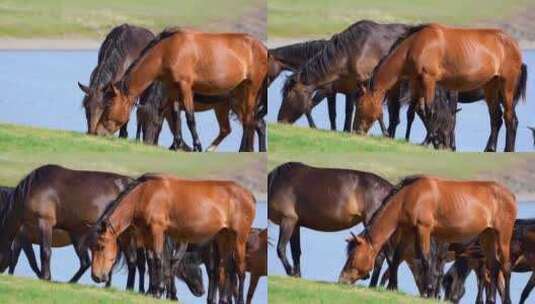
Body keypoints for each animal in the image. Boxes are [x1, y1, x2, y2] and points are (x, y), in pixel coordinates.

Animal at [89, 173, 256, 304]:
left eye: (101, 246)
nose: (96, 277)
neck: (145, 194)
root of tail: (249, 195)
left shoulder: (157, 230)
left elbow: (158, 259)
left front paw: (158, 291)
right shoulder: (147, 234)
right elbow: (152, 260)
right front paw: (153, 291)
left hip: (239, 237)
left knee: (240, 270)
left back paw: (240, 300)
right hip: (224, 237)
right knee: (228, 268)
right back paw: (222, 300)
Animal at [97, 27, 268, 152]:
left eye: (109, 106)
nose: (99, 132)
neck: (167, 51)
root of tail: (263, 48)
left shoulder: (185, 87)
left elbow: (190, 118)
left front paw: (197, 146)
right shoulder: (173, 89)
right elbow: (175, 116)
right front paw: (176, 145)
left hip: (250, 89)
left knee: (250, 120)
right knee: (248, 122)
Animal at [340, 176, 520, 304]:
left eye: (353, 257)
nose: (342, 279)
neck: (409, 196)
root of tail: (511, 195)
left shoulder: (424, 229)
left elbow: (425, 258)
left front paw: (428, 290)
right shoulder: (408, 231)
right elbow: (396, 258)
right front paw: (392, 287)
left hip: (503, 235)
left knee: (505, 267)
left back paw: (507, 300)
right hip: (487, 236)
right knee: (494, 267)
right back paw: (491, 300)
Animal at [356, 22, 528, 152]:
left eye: (360, 105)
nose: (358, 130)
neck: (415, 45)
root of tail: (514, 44)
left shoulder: (429, 81)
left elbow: (431, 111)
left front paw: (427, 141)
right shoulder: (416, 82)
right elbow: (411, 113)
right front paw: (407, 139)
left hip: (507, 87)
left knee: (510, 118)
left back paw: (508, 150)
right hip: (490, 87)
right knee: (496, 118)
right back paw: (489, 149)